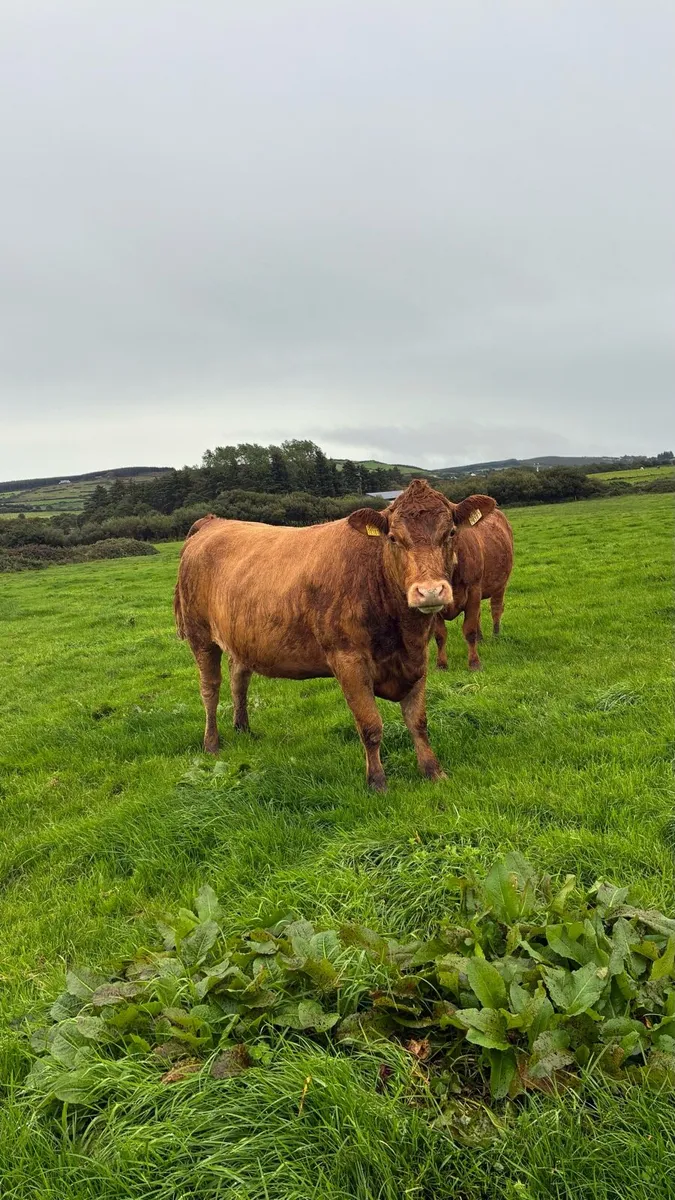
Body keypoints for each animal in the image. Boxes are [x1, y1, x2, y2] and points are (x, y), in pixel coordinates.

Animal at [174, 479, 473, 791]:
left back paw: (242, 728)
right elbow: (370, 725)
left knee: (238, 680)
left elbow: (418, 721)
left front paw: (433, 771)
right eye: (392, 538)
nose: (430, 591)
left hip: (241, 638)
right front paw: (377, 781)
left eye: (451, 532)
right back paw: (211, 743)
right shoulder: (348, 660)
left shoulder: (416, 657)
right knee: (210, 689)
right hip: (201, 637)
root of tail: (213, 521)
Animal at [432, 499, 514, 672]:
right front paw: (441, 665)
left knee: (496, 609)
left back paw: (496, 635)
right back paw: (481, 639)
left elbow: (469, 630)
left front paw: (474, 664)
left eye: (452, 532)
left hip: (500, 584)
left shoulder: (474, 591)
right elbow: (440, 634)